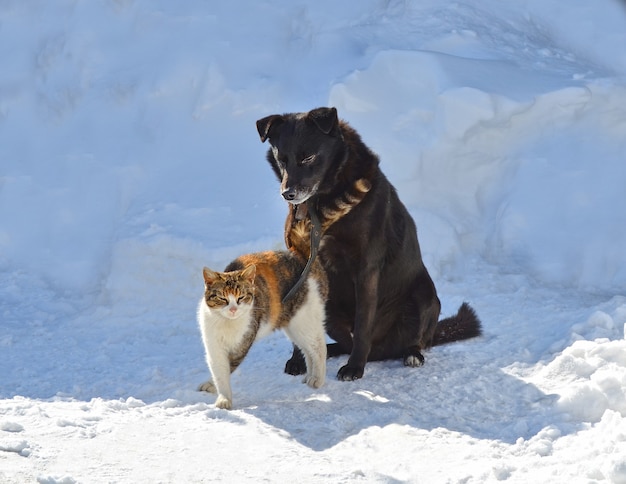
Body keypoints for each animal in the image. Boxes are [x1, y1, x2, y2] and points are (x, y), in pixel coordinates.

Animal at [197, 250, 330, 408]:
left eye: (241, 297)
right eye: (223, 299)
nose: (233, 309)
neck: (227, 323)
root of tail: (300, 253)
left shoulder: (242, 344)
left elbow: (229, 367)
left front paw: (224, 399)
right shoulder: (214, 346)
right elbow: (219, 370)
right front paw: (219, 392)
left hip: (304, 320)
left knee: (319, 347)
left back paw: (318, 379)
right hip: (294, 325)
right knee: (307, 350)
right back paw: (309, 376)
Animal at [254, 108, 478, 380]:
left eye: (308, 157)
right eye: (282, 159)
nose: (288, 193)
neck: (322, 203)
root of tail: (382, 350)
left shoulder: (366, 269)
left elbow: (362, 326)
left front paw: (354, 367)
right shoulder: (302, 268)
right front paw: (298, 360)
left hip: (424, 295)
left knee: (410, 340)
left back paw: (410, 354)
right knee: (344, 341)